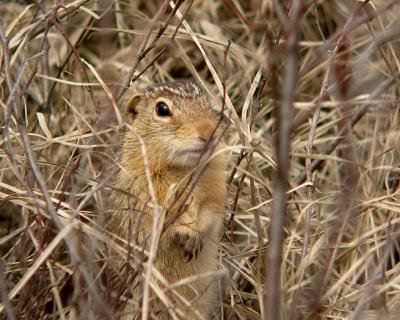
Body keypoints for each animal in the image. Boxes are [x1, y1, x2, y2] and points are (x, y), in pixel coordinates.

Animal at [106, 80, 227, 320]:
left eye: (209, 105)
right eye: (162, 109)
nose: (208, 131)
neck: (183, 168)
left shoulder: (215, 191)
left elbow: (210, 211)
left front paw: (196, 235)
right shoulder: (147, 195)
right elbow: (167, 217)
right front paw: (188, 231)